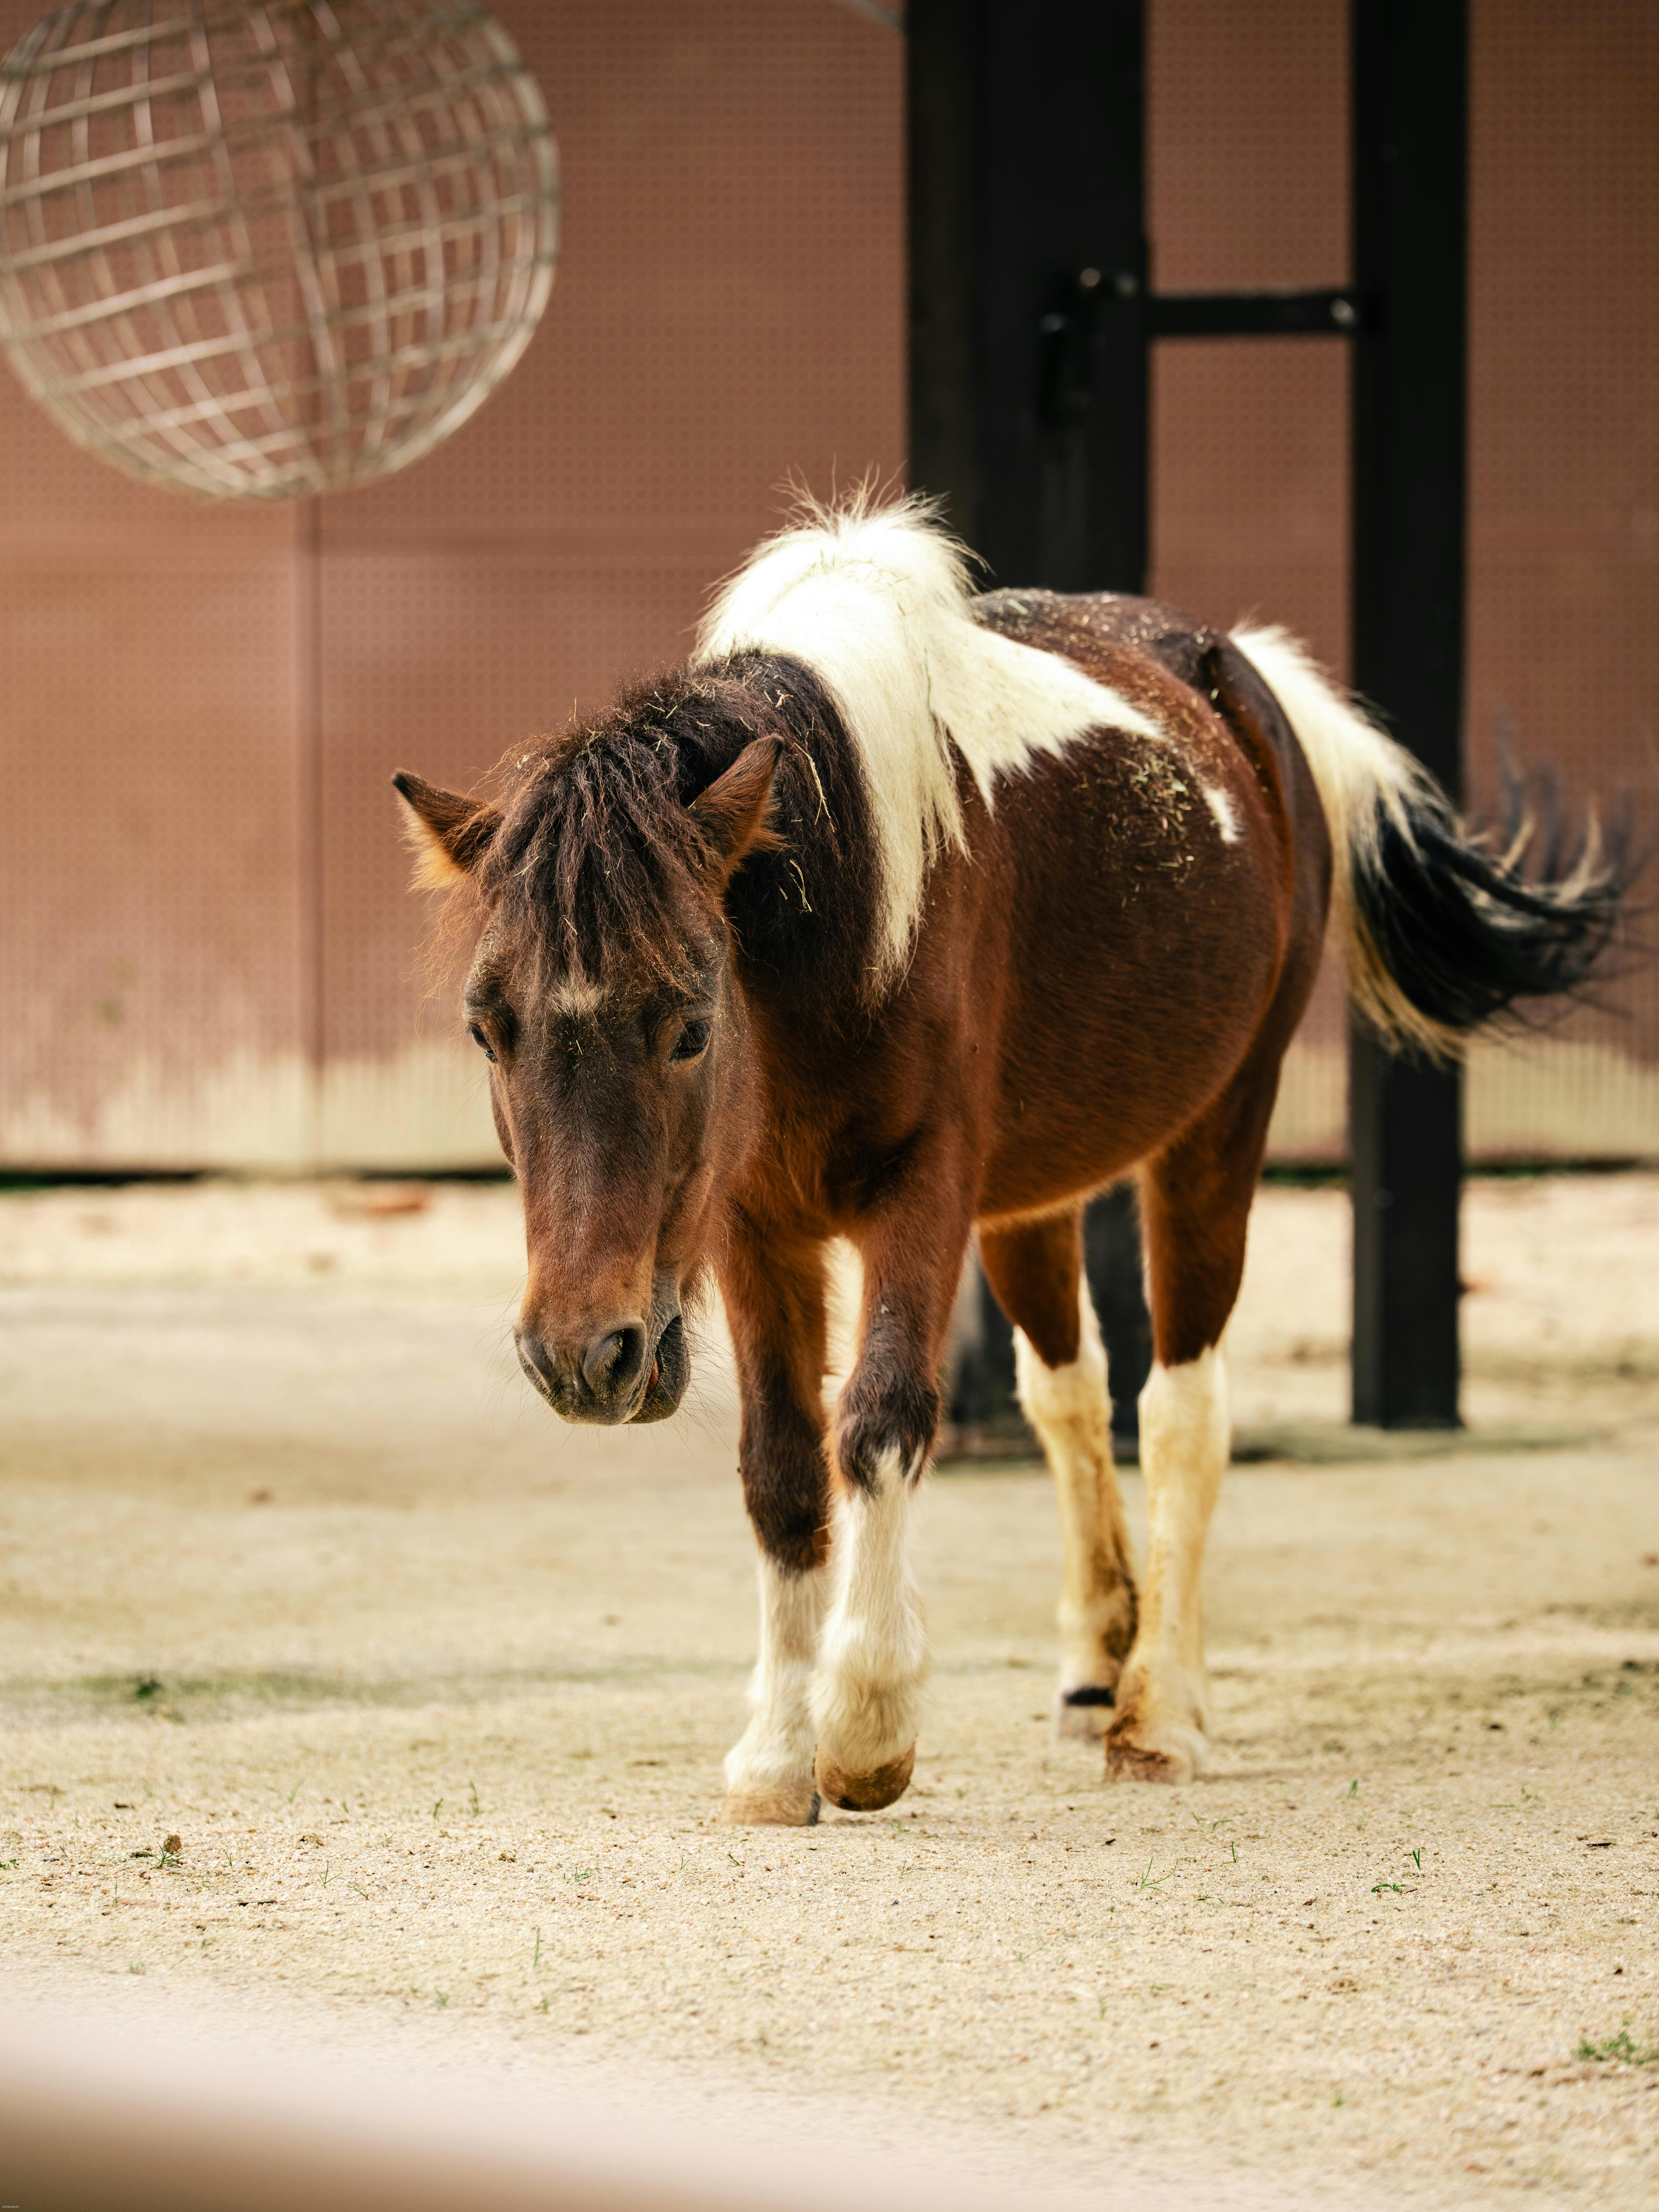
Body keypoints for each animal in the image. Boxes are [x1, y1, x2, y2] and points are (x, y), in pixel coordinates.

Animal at [393, 498, 1624, 1823]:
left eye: (687, 1023)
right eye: (488, 1028)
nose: (581, 1354)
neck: (845, 906)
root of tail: (1242, 676)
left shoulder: (920, 1191)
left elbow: (881, 1416)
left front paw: (866, 1721)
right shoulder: (754, 1224)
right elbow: (783, 1466)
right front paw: (775, 1755)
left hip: (1215, 1133)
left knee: (1178, 1410)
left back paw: (1161, 1709)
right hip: (1027, 1199)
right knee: (1070, 1393)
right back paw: (1100, 1666)